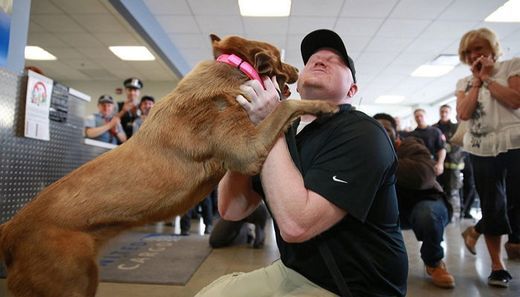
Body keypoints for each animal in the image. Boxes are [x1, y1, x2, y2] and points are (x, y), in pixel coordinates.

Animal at [0, 34, 338, 294]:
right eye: (280, 58)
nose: (299, 68)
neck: (232, 69)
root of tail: (9, 231)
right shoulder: (248, 149)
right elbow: (286, 105)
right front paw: (324, 105)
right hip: (69, 282)